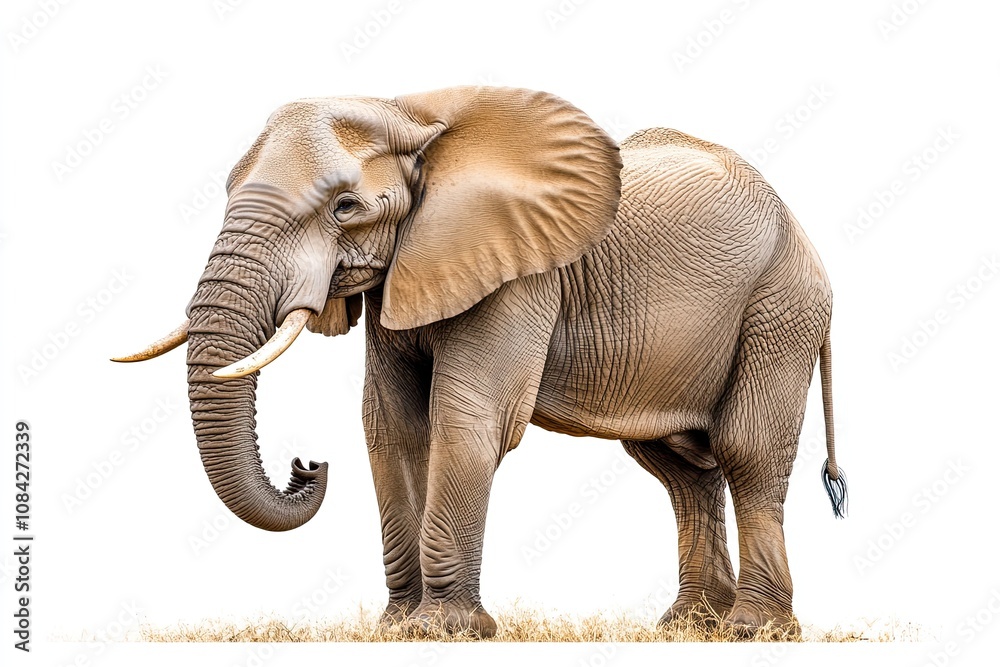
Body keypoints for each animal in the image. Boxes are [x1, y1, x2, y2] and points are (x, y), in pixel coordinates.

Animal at [114, 86, 847, 638]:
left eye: (345, 207)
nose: (307, 464)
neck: (410, 115)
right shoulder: (405, 269)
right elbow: (391, 424)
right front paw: (398, 629)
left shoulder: (520, 272)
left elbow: (469, 416)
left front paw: (445, 629)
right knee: (678, 469)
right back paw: (687, 628)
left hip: (781, 306)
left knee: (745, 450)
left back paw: (754, 630)